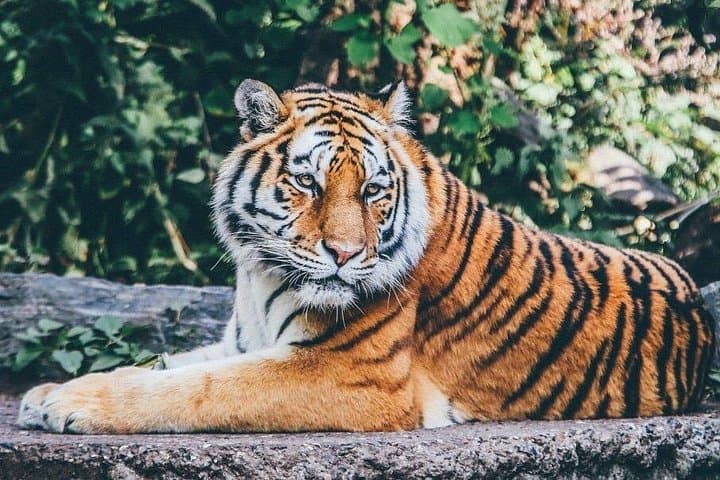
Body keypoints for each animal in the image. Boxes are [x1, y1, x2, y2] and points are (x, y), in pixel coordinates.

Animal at [18, 79, 715, 434]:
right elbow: (165, 364)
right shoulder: (242, 341)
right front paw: (49, 391)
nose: (346, 254)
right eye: (308, 183)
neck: (258, 274)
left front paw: (67, 405)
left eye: (374, 190)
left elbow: (194, 389)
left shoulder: (349, 374)